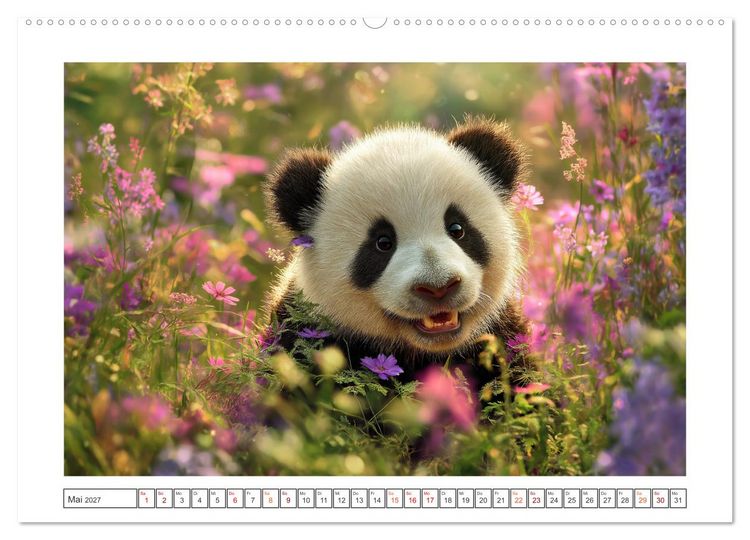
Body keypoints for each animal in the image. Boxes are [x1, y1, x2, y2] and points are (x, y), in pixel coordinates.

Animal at [263, 117, 531, 388]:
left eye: (457, 229)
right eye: (383, 242)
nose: (438, 287)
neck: (422, 352)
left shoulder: (502, 337)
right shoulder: (303, 332)